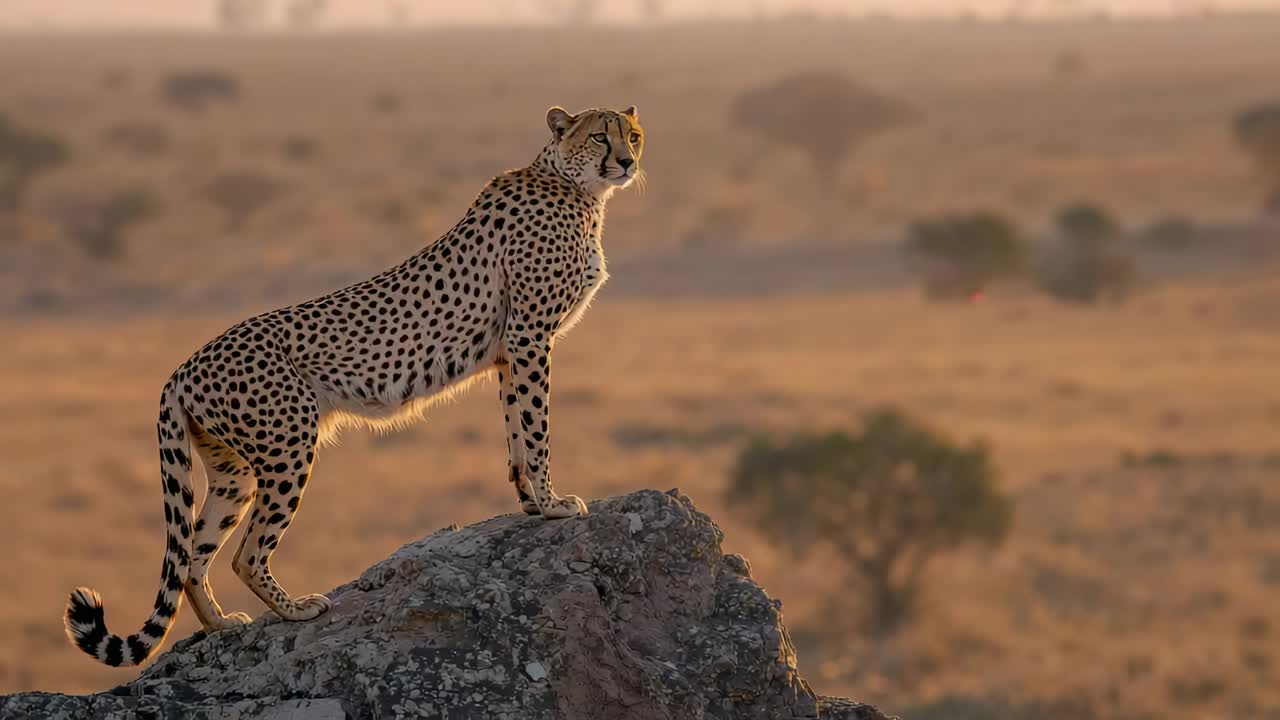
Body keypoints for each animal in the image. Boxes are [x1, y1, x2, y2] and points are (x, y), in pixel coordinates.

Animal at [64, 105, 644, 667]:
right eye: (600, 136)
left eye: (633, 135)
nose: (627, 162)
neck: (575, 186)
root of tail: (183, 367)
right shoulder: (528, 336)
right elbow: (536, 427)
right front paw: (553, 503)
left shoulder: (508, 351)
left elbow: (516, 431)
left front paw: (529, 501)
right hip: (289, 446)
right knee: (245, 553)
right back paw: (295, 609)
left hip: (232, 472)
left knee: (192, 559)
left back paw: (222, 625)